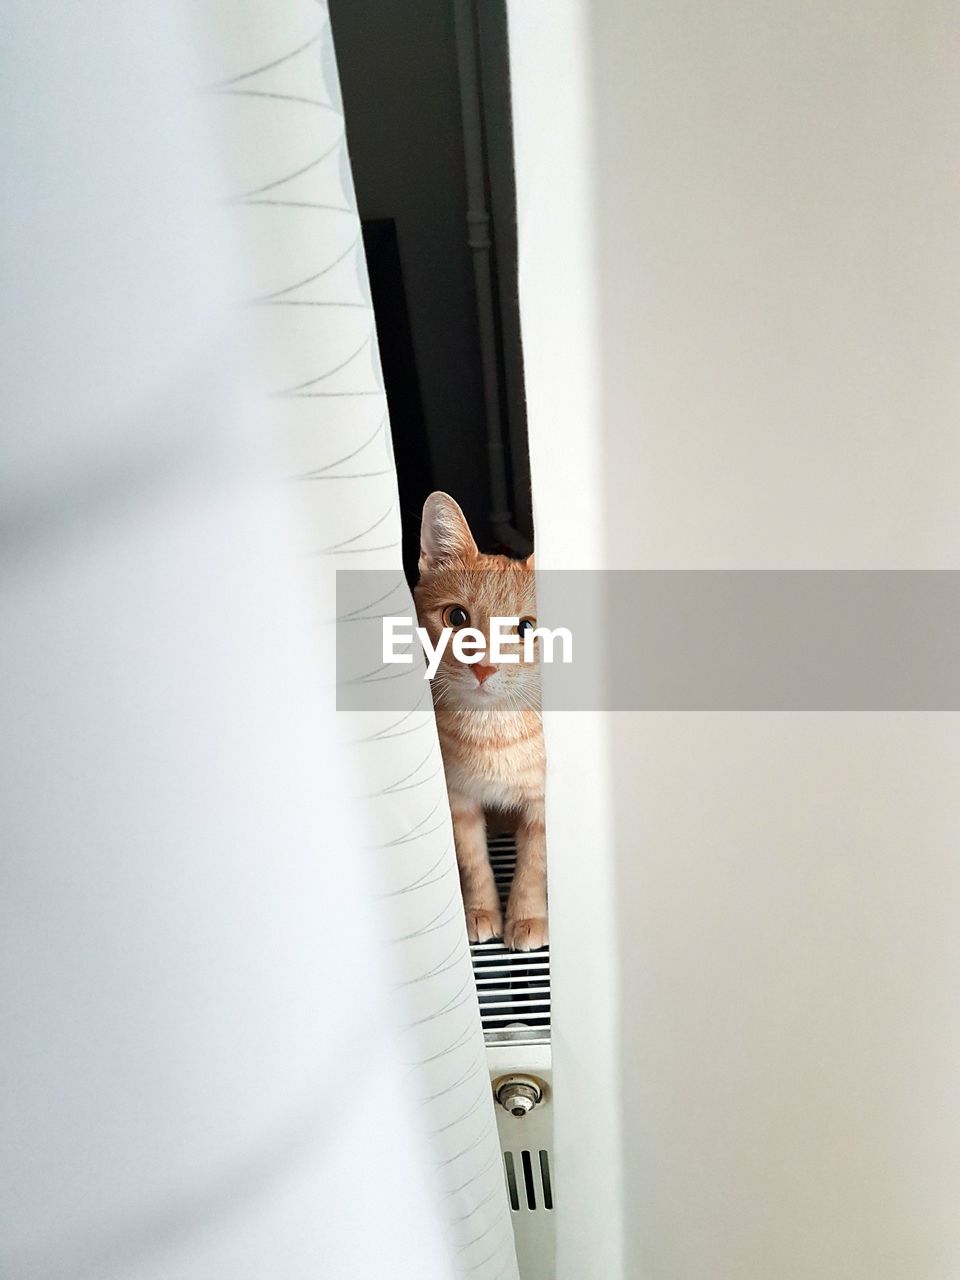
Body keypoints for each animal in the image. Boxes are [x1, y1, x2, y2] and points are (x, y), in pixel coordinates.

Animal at [414, 488, 547, 952]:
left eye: (525, 627)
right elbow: (472, 862)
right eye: (456, 617)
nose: (484, 667)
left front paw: (526, 918)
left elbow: (533, 867)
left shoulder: (542, 805)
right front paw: (480, 911)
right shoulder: (459, 800)